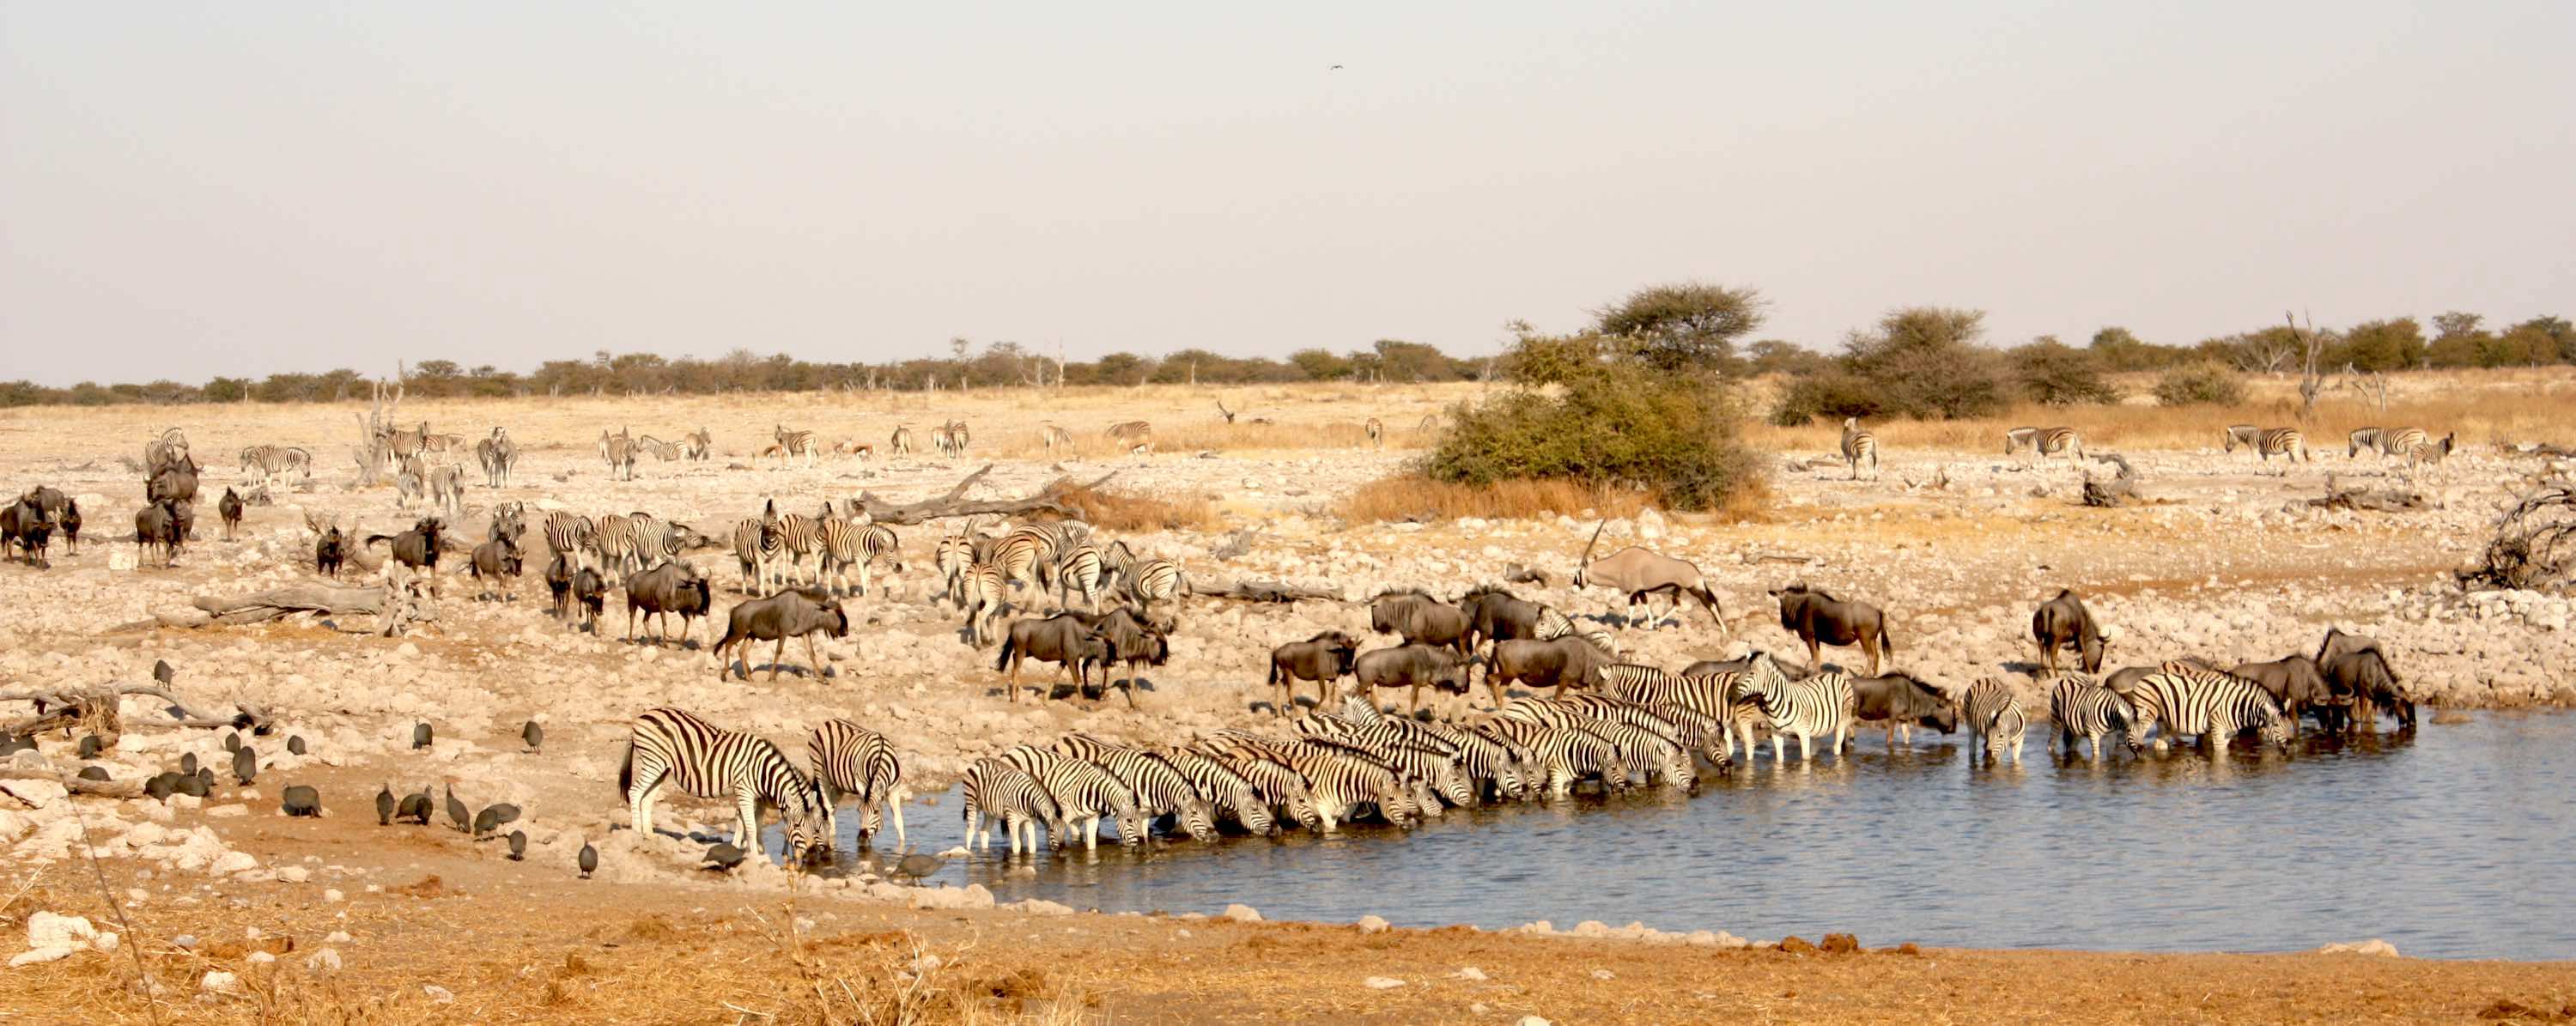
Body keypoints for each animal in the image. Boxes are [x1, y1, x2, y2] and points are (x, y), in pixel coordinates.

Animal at [618, 706, 819, 865]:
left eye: (814, 827)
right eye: (798, 825)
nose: (810, 854)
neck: (762, 771)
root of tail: (641, 717)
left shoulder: (748, 795)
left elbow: (744, 824)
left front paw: (739, 849)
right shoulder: (745, 790)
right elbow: (751, 826)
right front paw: (756, 856)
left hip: (662, 767)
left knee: (647, 799)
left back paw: (650, 835)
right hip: (654, 761)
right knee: (635, 792)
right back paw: (636, 832)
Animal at [989, 747, 1144, 850]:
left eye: (1139, 821)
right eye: (1129, 821)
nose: (1138, 847)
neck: (1093, 792)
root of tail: (1011, 751)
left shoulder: (1092, 818)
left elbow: (1092, 845)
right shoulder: (1065, 816)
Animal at [2112, 665, 2298, 752]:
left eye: (2288, 724)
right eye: (2276, 725)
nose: (2292, 745)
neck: (2236, 703)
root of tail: (2144, 678)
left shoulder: (2224, 732)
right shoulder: (2216, 727)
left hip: (2163, 718)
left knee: (2160, 741)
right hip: (2148, 713)